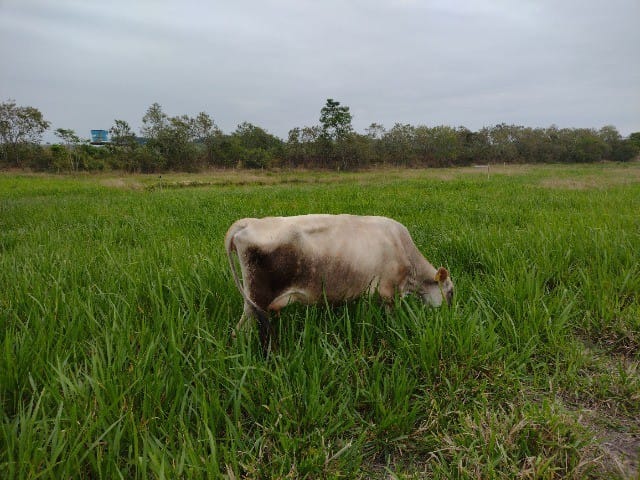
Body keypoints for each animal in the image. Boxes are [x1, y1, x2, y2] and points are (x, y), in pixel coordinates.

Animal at [225, 214, 456, 352]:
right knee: (238, 332)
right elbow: (392, 318)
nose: (449, 316)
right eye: (451, 292)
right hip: (256, 301)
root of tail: (248, 222)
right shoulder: (389, 291)